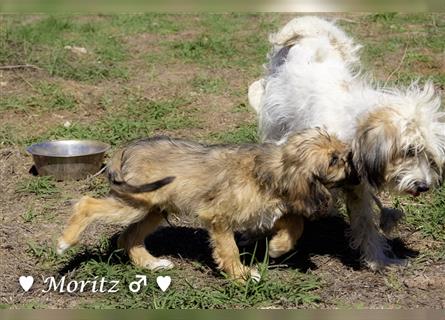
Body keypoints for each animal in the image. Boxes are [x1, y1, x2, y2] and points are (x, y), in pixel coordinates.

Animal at [57, 129, 352, 282]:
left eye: (341, 152)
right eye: (333, 160)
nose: (351, 158)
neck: (271, 169)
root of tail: (126, 149)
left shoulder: (266, 211)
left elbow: (295, 223)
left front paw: (278, 247)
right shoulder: (219, 218)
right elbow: (230, 249)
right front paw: (241, 276)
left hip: (154, 209)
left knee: (128, 237)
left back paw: (152, 264)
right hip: (135, 205)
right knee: (87, 204)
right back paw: (64, 242)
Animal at [248, 16, 442, 268]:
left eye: (429, 156)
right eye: (409, 151)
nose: (424, 186)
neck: (353, 127)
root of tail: (310, 35)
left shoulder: (358, 186)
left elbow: (365, 223)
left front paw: (377, 260)